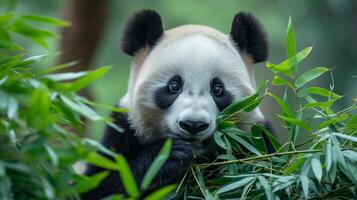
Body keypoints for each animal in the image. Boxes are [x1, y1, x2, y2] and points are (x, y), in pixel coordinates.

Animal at [82, 9, 272, 198]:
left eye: (218, 89)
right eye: (174, 86)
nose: (193, 124)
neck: (198, 157)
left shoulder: (257, 138)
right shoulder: (122, 130)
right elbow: (102, 185)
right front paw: (167, 156)